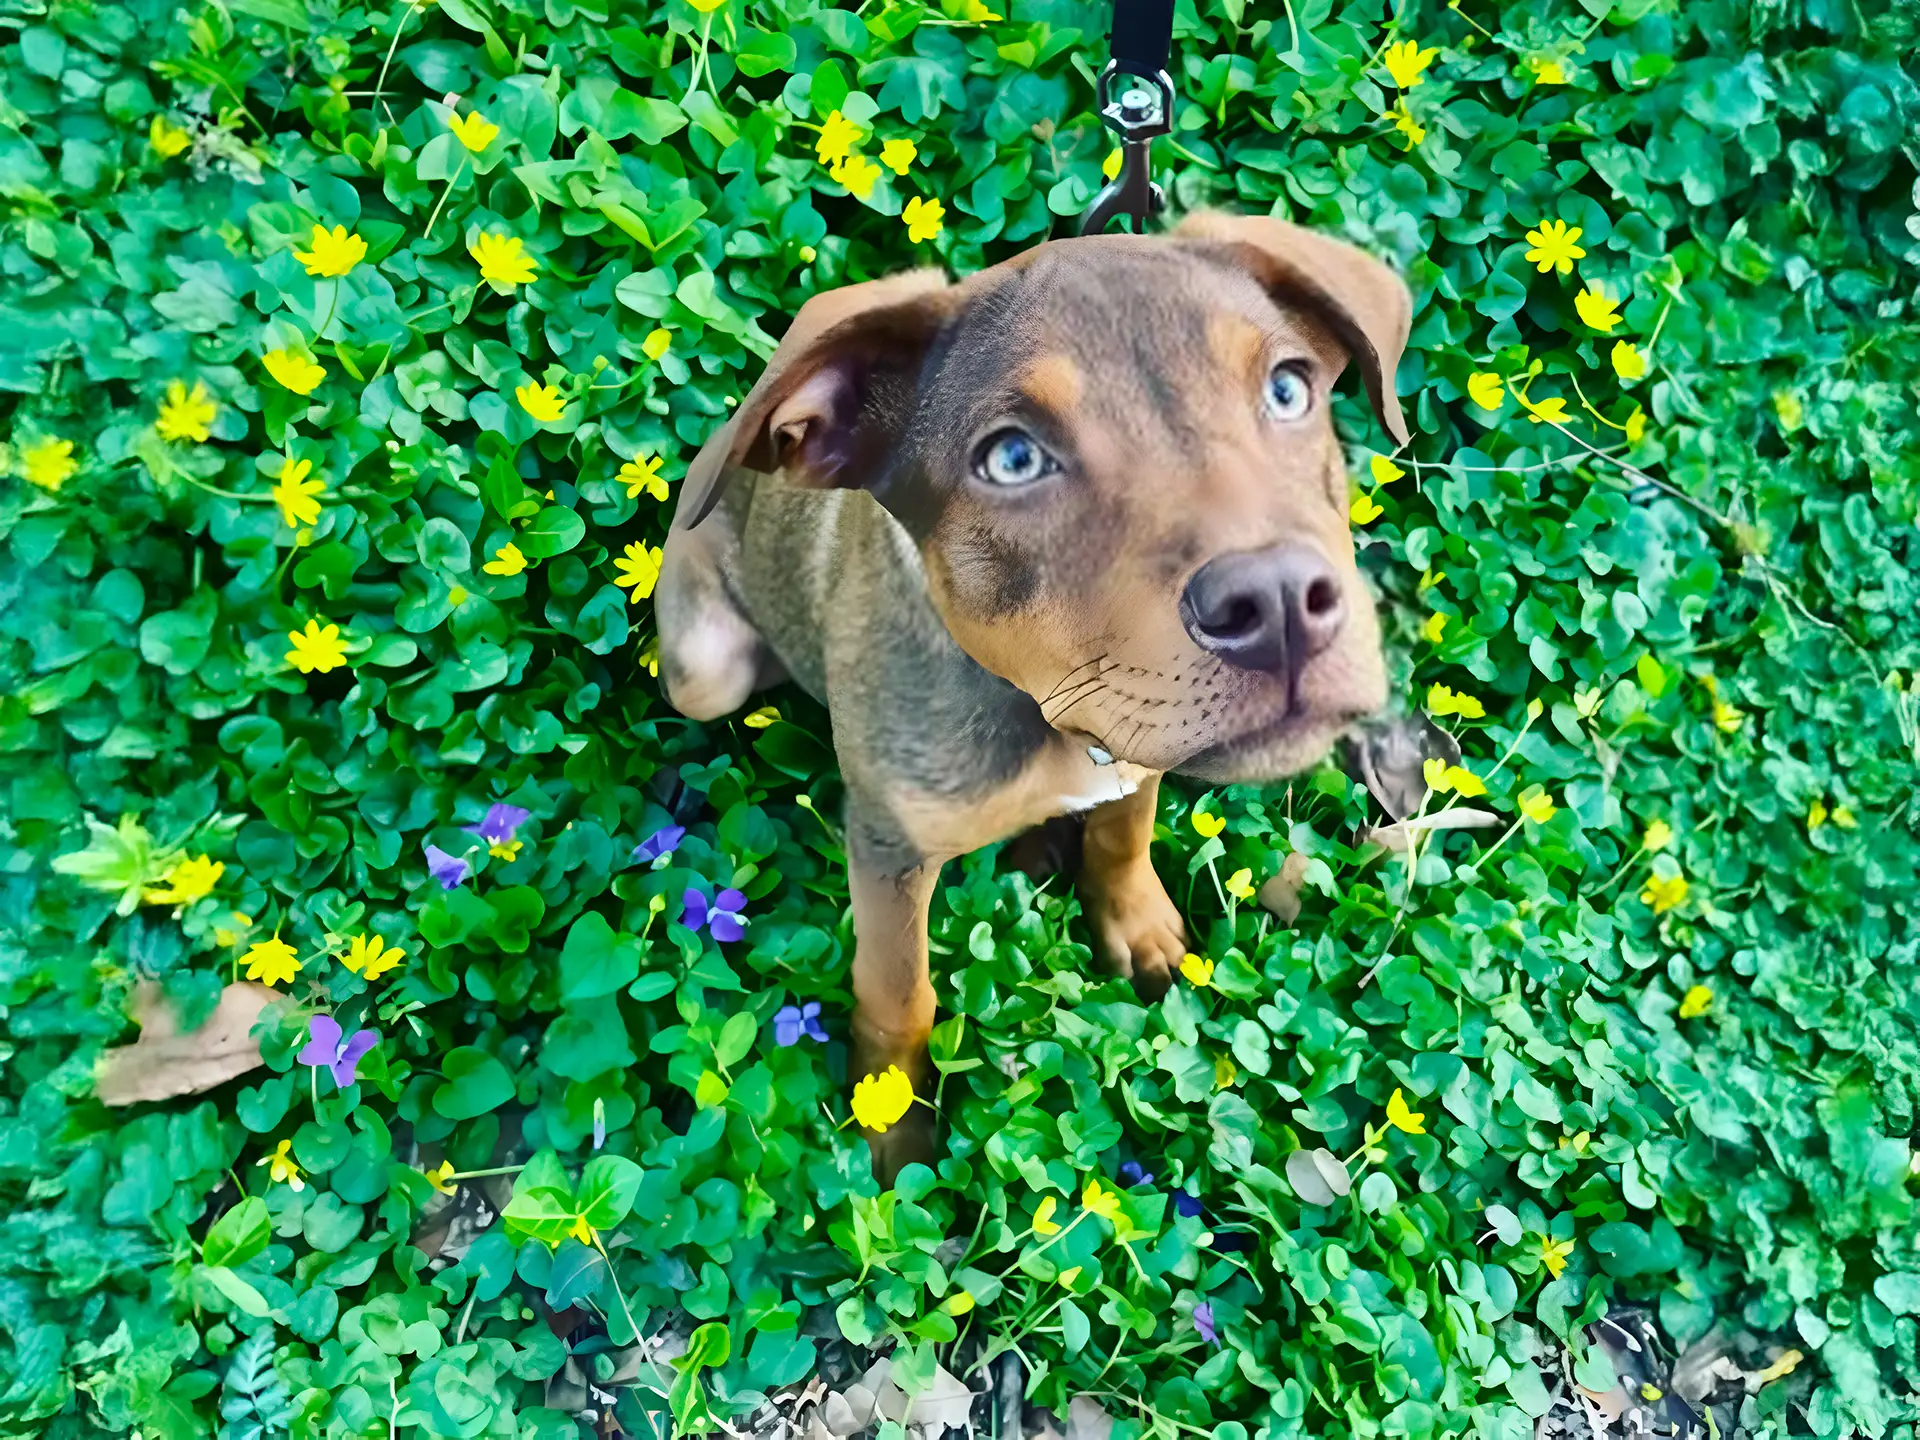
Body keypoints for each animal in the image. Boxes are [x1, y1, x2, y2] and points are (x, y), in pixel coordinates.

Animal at [660, 211, 1413, 1182]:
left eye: (1288, 390)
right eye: (1013, 458)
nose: (1278, 604)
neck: (1046, 716)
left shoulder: (1134, 749)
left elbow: (1125, 835)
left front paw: (1138, 924)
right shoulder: (890, 850)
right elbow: (899, 995)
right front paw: (890, 1123)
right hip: (702, 673)